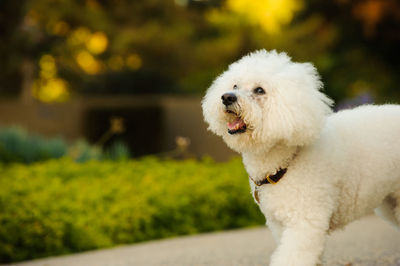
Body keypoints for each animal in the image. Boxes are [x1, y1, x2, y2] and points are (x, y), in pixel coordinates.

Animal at [202, 50, 400, 266]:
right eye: (235, 86)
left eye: (260, 90)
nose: (227, 97)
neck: (285, 161)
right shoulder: (280, 225)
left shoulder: (304, 222)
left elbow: (294, 256)